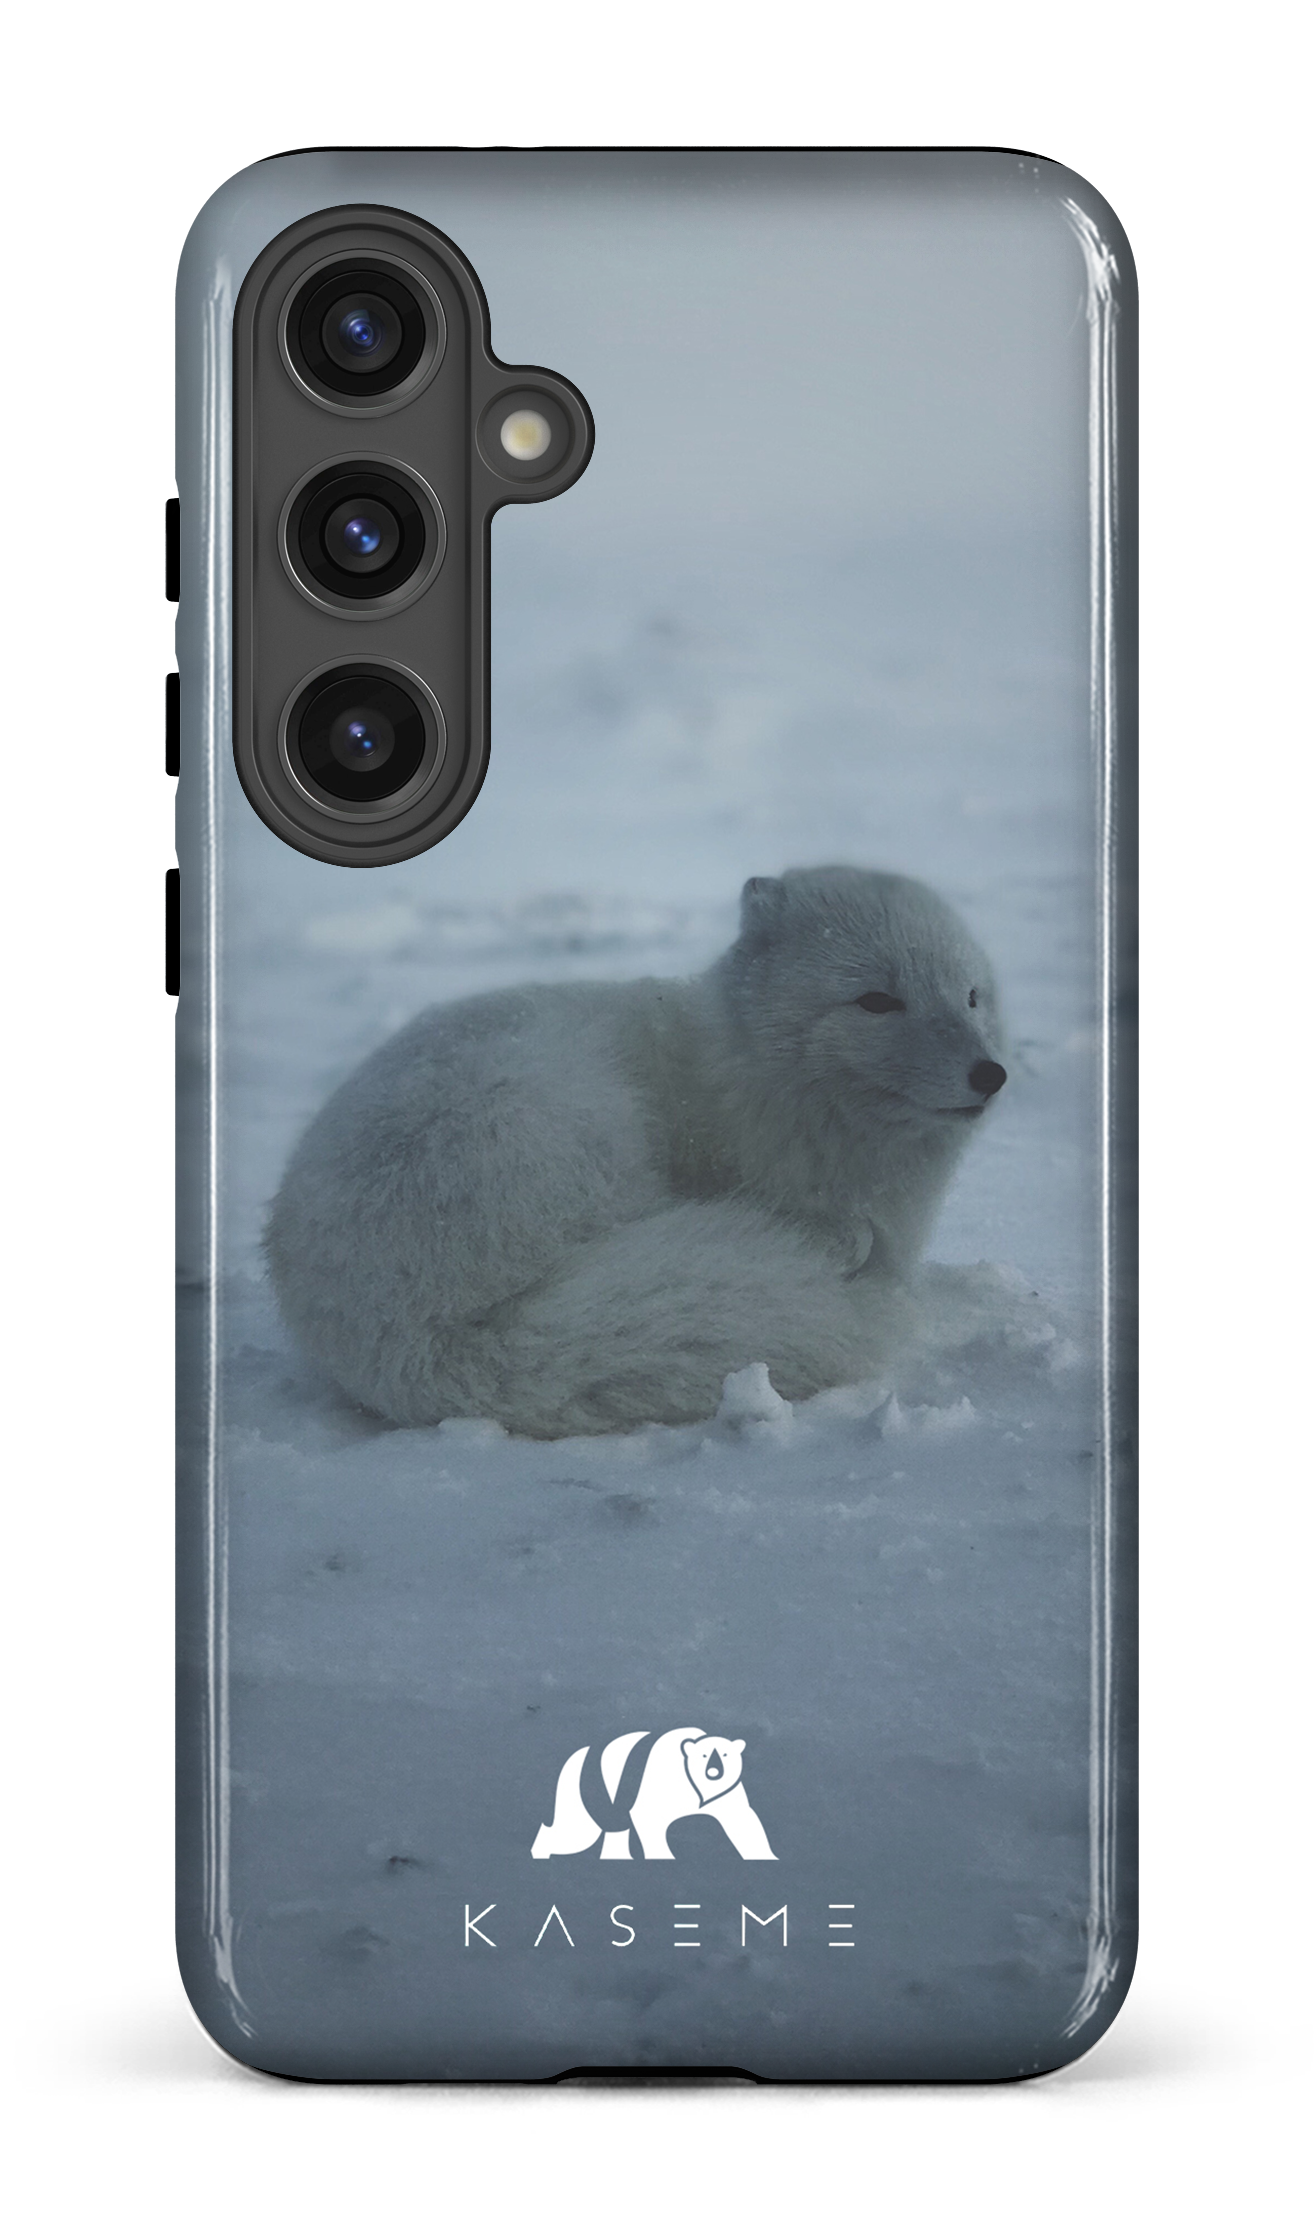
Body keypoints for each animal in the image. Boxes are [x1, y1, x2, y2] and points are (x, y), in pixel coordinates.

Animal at [265, 866, 1007, 1437]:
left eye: (971, 995)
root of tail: (413, 1339)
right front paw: (840, 1240)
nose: (991, 1073)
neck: (745, 1075)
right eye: (877, 1000)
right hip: (566, 1121)